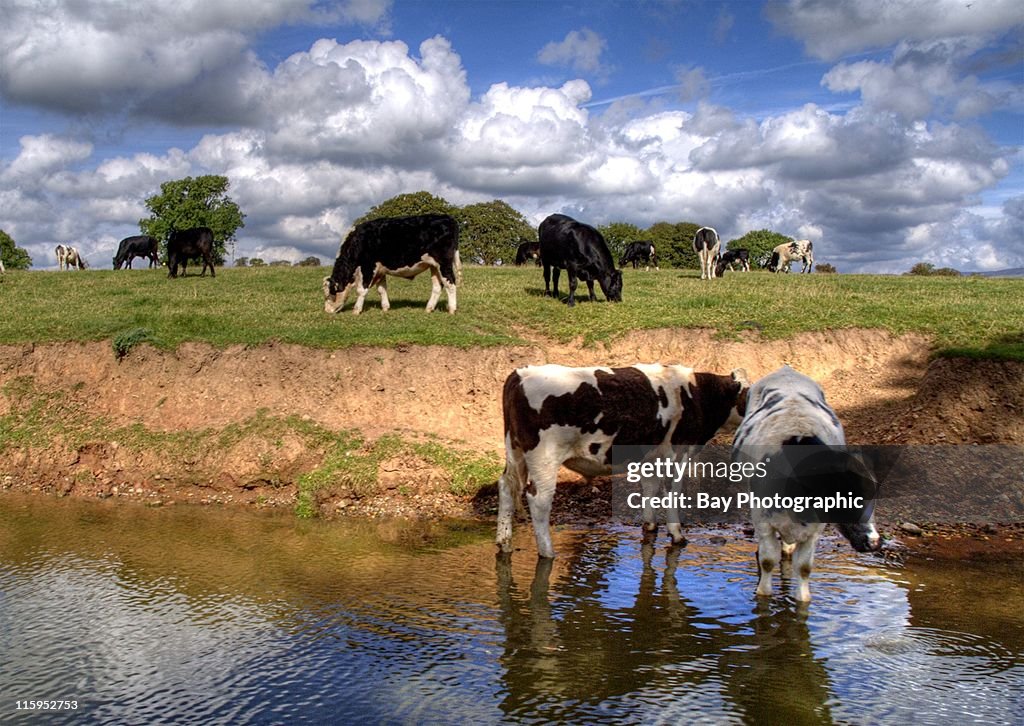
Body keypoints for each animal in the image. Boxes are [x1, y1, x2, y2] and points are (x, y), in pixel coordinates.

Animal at [323, 211, 460, 313]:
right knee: (437, 286)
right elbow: (382, 289)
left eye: (330, 293)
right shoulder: (380, 270)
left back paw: (452, 309)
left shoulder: (368, 267)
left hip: (443, 263)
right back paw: (429, 308)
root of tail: (447, 218)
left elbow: (361, 290)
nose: (327, 310)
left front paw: (356, 310)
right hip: (434, 266)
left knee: (451, 283)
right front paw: (385, 308)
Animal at [497, 360, 749, 557]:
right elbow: (672, 493)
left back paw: (503, 543)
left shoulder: (652, 456)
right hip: (544, 457)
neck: (696, 395)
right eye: (750, 395)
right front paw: (677, 535)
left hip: (514, 450)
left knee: (507, 487)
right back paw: (547, 553)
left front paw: (650, 526)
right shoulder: (677, 452)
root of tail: (521, 373)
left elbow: (650, 488)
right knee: (538, 500)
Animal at [733, 364, 884, 602]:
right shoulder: (762, 519)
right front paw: (763, 594)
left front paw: (803, 599)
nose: (874, 542)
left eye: (875, 496)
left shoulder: (815, 528)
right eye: (841, 494)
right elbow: (767, 561)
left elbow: (804, 567)